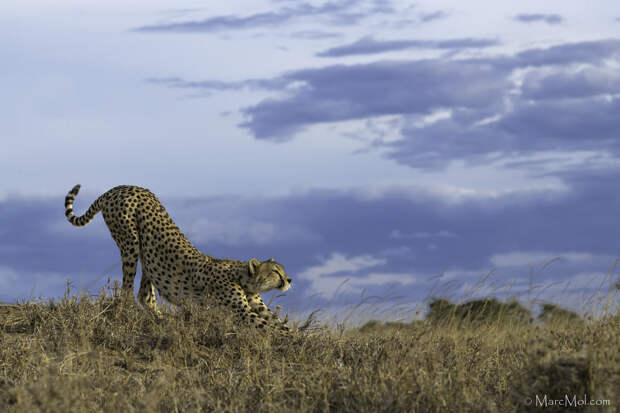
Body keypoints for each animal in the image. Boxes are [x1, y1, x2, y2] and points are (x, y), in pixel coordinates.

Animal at [64, 185, 292, 334]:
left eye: (282, 270)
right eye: (275, 271)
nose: (289, 280)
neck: (243, 278)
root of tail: (120, 187)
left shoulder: (257, 306)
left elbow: (278, 322)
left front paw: (294, 335)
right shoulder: (242, 312)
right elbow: (270, 327)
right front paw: (289, 340)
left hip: (149, 254)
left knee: (145, 294)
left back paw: (161, 320)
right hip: (130, 243)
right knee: (127, 291)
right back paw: (129, 313)